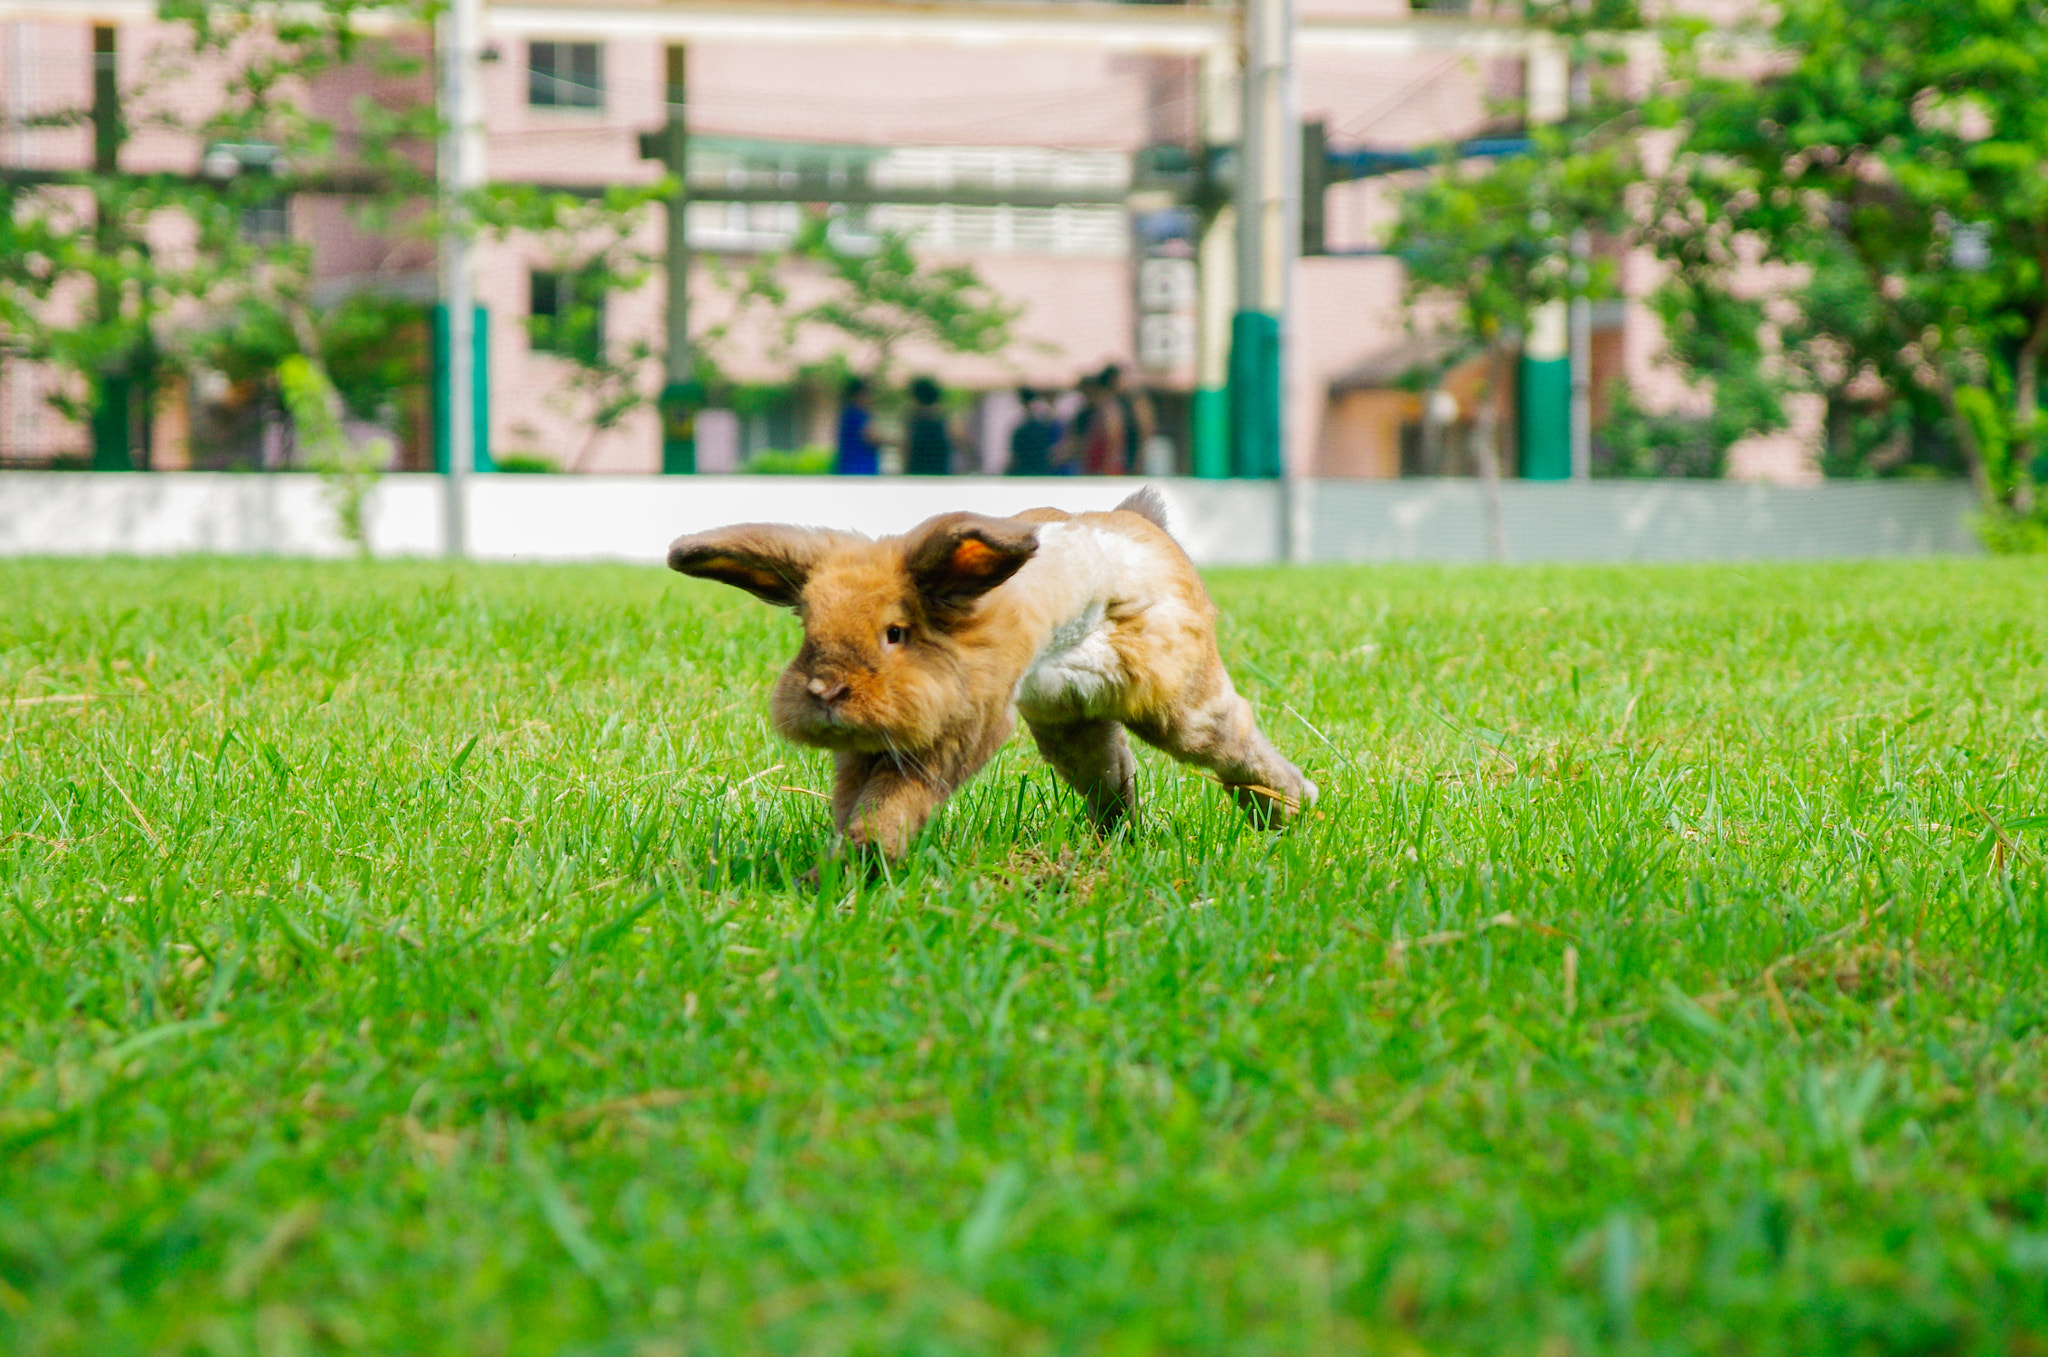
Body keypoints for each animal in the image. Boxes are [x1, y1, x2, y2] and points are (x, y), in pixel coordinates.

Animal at [663, 485, 1318, 859]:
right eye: (808, 630)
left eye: (895, 633)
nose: (825, 691)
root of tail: (1143, 523)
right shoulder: (868, 750)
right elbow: (854, 800)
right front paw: (838, 865)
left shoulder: (956, 735)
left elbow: (896, 798)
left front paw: (871, 853)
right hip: (1071, 723)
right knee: (1115, 776)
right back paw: (1117, 843)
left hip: (1180, 703)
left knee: (1236, 742)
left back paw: (1294, 810)